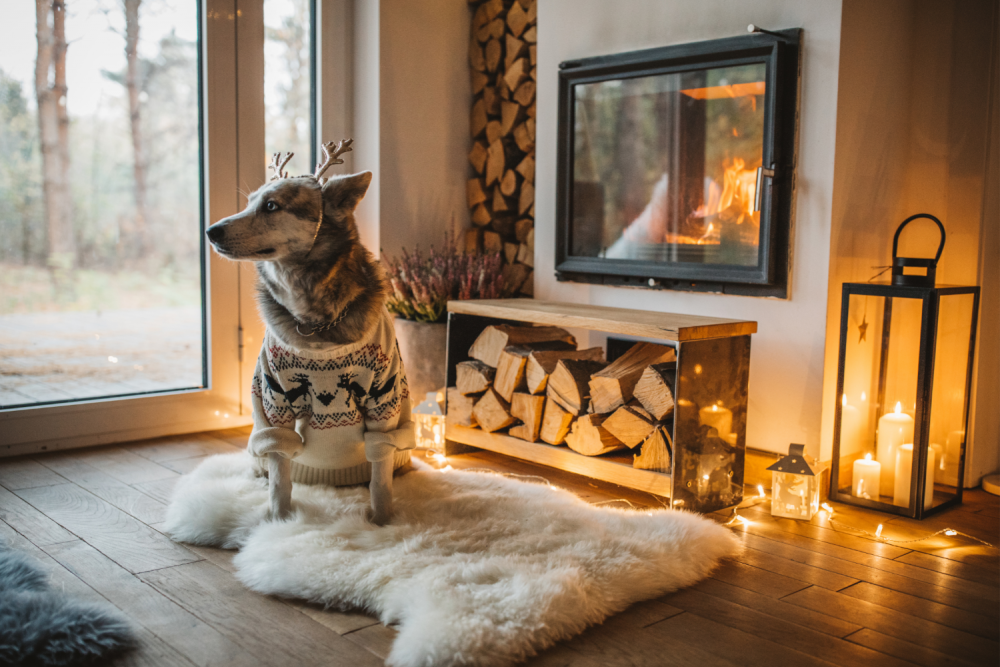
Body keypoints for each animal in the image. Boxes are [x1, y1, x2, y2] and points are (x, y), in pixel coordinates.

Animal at [206, 141, 414, 528]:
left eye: (272, 206)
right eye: (250, 202)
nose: (211, 231)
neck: (316, 325)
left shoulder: (384, 401)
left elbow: (380, 476)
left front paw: (381, 523)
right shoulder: (274, 402)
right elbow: (280, 477)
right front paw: (279, 521)